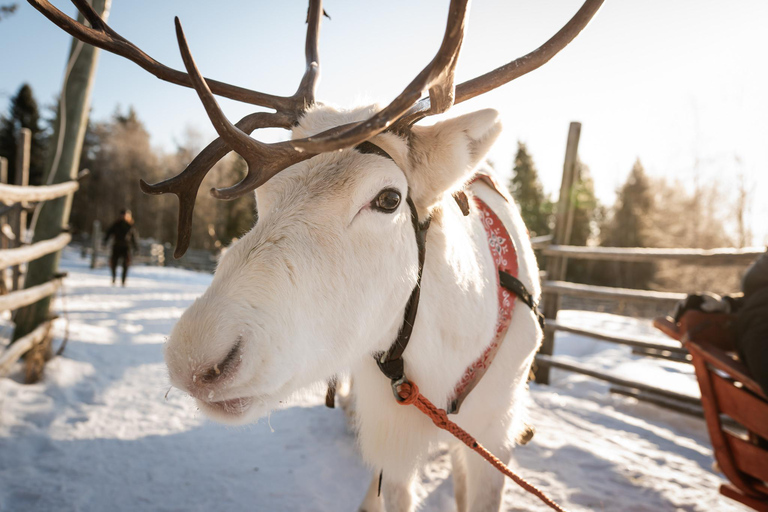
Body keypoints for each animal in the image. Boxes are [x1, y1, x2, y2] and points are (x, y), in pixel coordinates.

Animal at [30, 1, 603, 510]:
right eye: (259, 197)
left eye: (388, 199)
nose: (195, 360)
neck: (446, 355)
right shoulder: (389, 424)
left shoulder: (493, 432)